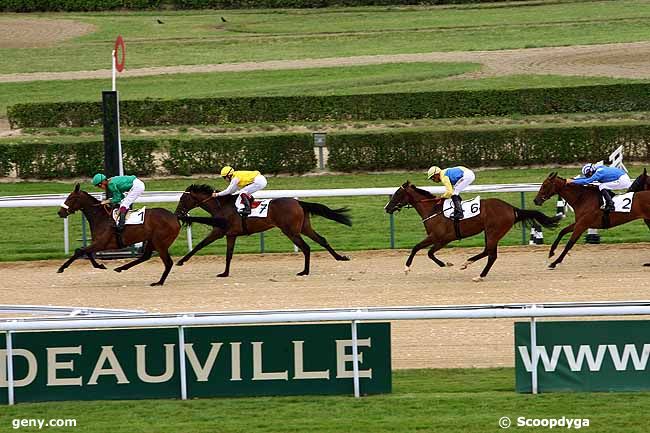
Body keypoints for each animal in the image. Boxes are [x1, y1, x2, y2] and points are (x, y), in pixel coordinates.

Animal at [56, 183, 186, 286]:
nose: (60, 212)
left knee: (168, 262)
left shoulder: (102, 243)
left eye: (71, 198)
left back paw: (159, 282)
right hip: (152, 240)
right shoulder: (97, 243)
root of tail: (175, 217)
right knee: (145, 256)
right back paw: (121, 268)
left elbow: (80, 251)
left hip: (160, 243)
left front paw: (61, 268)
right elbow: (85, 251)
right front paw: (100, 266)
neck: (102, 217)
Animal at [172, 184, 350, 276]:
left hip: (290, 231)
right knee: (322, 240)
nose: (178, 213)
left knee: (306, 247)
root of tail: (298, 202)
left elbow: (199, 245)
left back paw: (304, 271)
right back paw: (340, 257)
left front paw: (181, 261)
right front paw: (225, 273)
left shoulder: (219, 231)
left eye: (183, 198)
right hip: (304, 227)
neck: (221, 207)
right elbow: (229, 255)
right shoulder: (231, 234)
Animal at [382, 181, 560, 280]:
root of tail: (512, 209)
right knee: (489, 252)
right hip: (490, 232)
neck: (433, 209)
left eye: (397, 194)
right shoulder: (442, 239)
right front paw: (446, 263)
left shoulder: (438, 237)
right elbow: (429, 252)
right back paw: (471, 267)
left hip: (493, 232)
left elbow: (418, 249)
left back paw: (476, 272)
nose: (387, 208)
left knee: (491, 254)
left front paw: (407, 268)